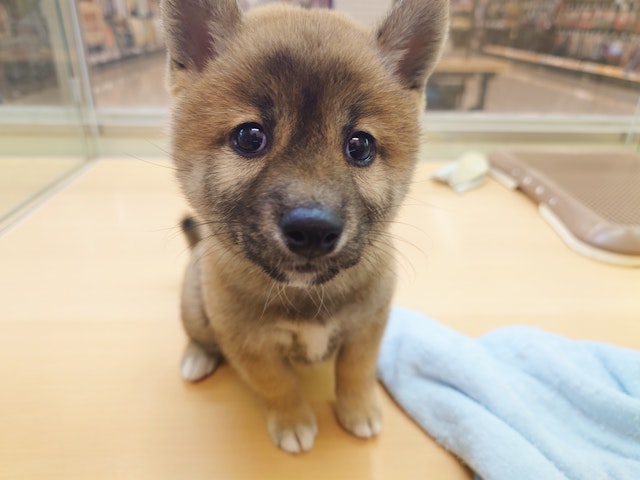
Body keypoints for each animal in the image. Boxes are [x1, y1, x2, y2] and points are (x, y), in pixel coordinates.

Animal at [161, 0, 450, 454]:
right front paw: (293, 421)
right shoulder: (251, 347)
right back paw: (198, 356)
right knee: (199, 334)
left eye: (360, 146)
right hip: (195, 307)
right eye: (249, 137)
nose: (313, 230)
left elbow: (355, 373)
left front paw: (358, 410)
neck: (306, 296)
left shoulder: (366, 327)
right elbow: (279, 387)